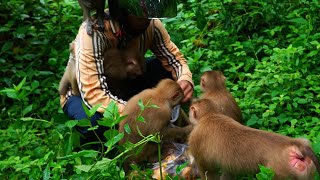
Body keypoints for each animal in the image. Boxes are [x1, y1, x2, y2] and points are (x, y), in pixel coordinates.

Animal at [186, 98, 320, 180]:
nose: (188, 114)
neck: (210, 115)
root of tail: (298, 144)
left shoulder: (195, 138)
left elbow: (207, 171)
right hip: (306, 169)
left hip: (279, 172)